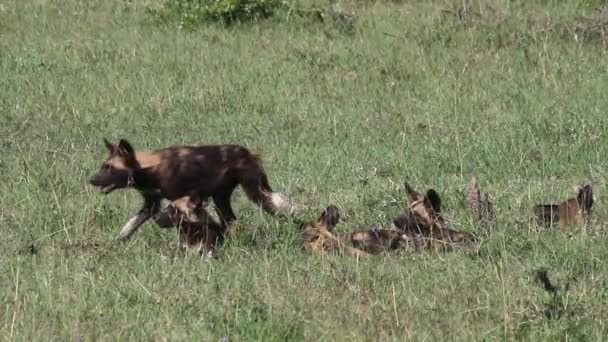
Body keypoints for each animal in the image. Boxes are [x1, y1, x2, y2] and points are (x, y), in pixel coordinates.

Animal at [88, 138, 294, 240]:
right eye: (103, 167)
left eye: (110, 168)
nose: (91, 180)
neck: (150, 170)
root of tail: (248, 153)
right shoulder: (151, 204)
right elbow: (129, 226)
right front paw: (115, 243)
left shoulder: (180, 202)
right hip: (221, 199)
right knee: (231, 223)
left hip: (257, 194)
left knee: (284, 209)